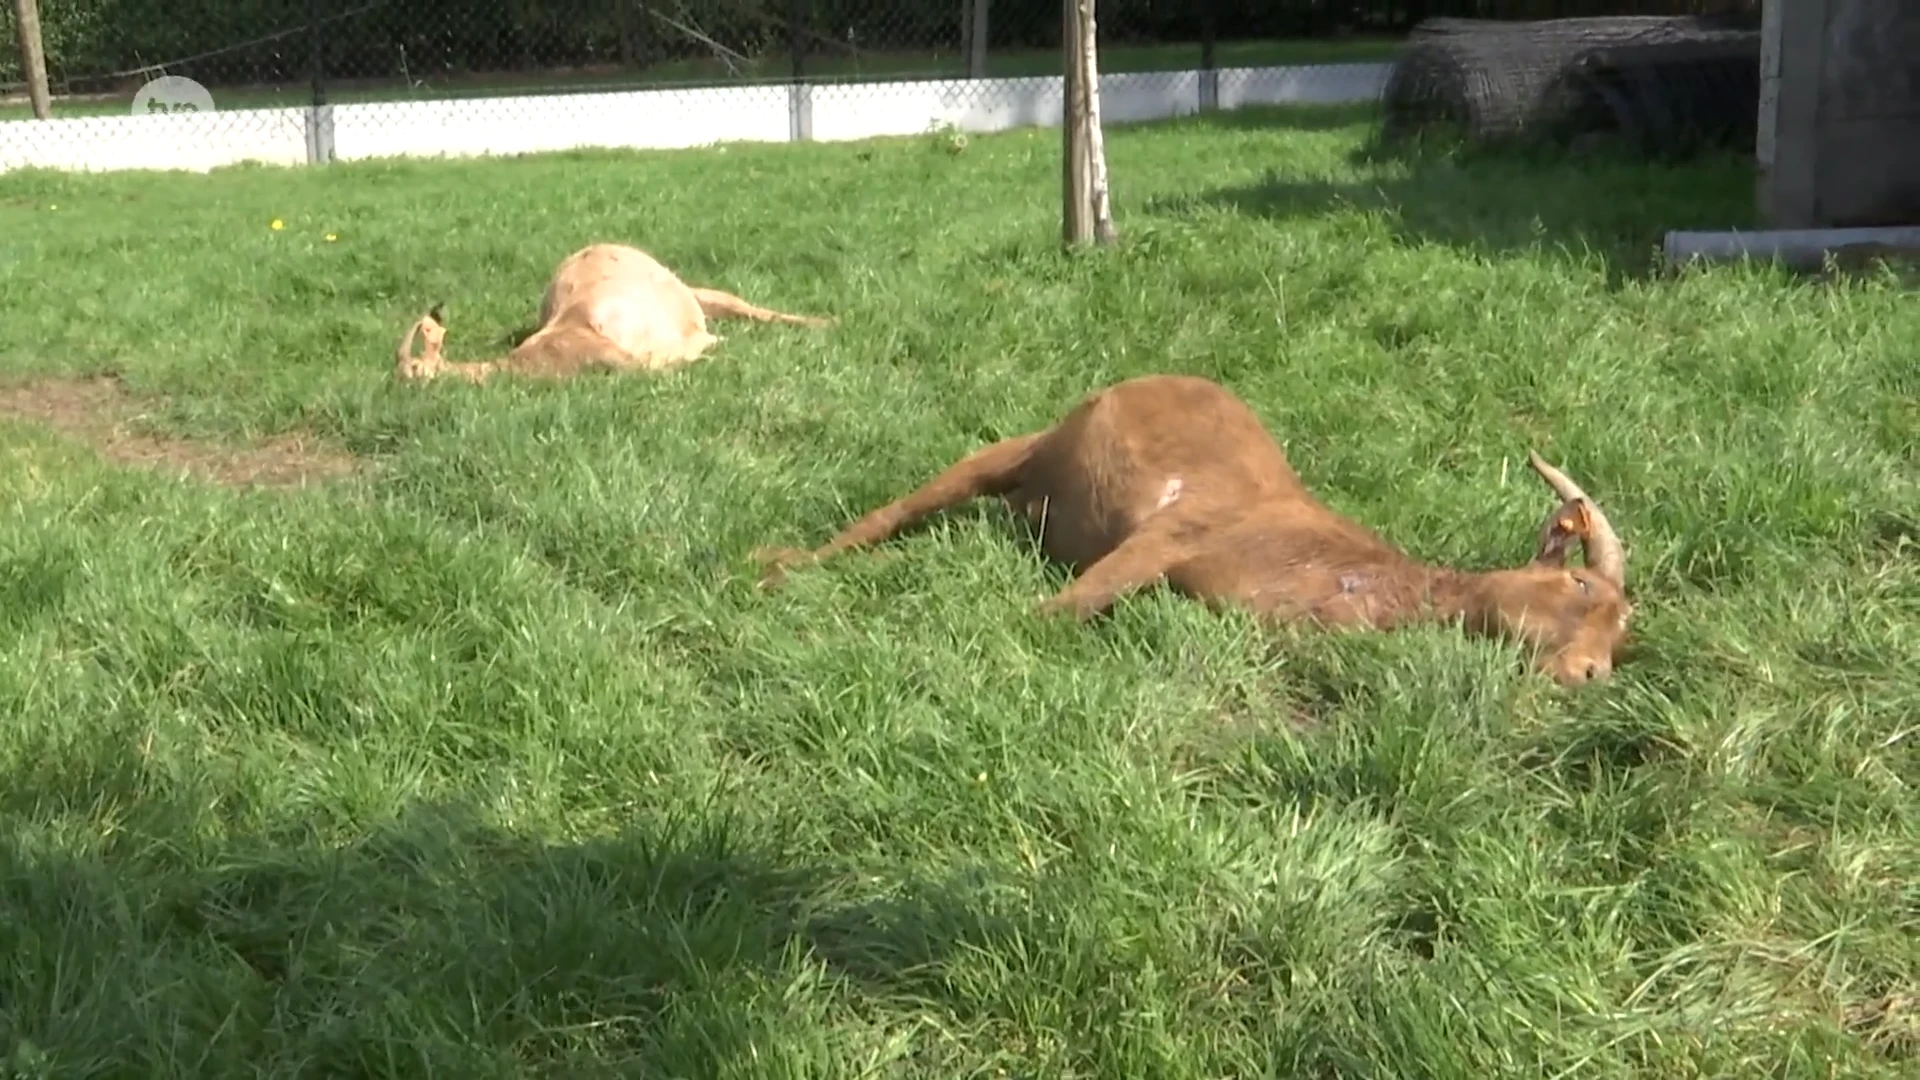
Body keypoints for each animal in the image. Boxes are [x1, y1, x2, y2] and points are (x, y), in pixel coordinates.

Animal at [748, 368, 1635, 684]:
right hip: (1023, 447)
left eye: (1623, 636)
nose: (1592, 675)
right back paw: (777, 564)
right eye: (1578, 580)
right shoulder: (1175, 535)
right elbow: (1057, 612)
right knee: (901, 508)